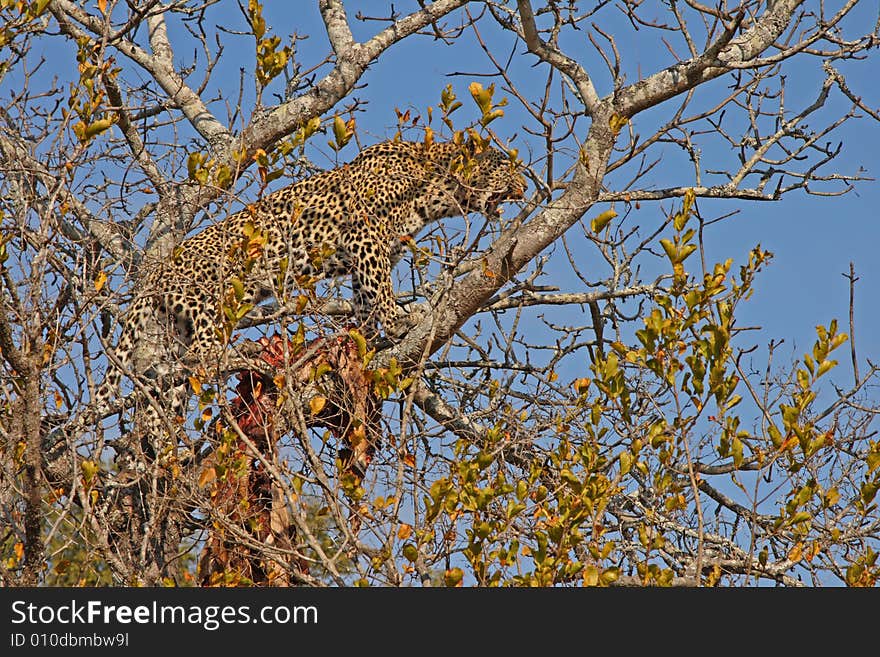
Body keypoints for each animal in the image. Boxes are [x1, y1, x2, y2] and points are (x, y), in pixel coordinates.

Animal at [88, 137, 524, 430]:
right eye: (505, 165)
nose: (525, 188)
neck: (435, 191)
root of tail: (159, 271)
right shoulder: (366, 236)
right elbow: (380, 288)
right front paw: (399, 321)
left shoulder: (371, 251)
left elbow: (365, 299)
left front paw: (366, 339)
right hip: (214, 303)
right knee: (203, 357)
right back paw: (242, 356)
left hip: (176, 329)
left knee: (173, 381)